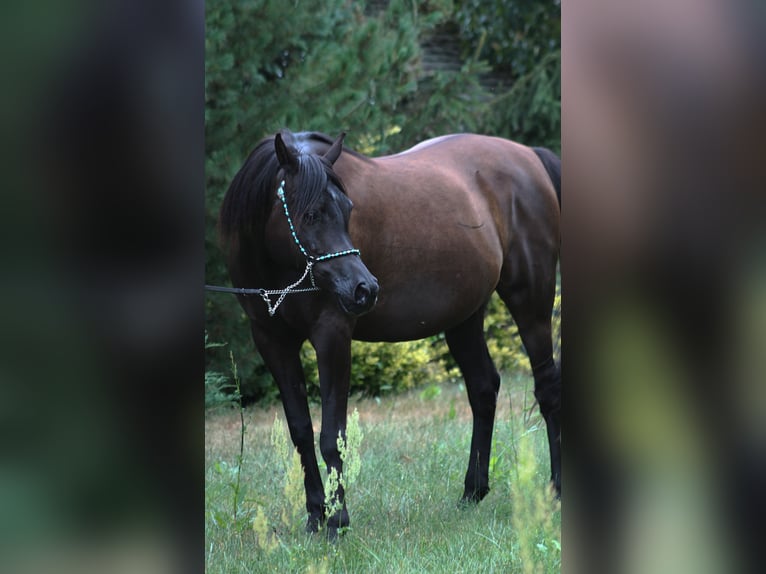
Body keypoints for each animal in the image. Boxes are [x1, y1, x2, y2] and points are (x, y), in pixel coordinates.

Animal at [218, 129, 561, 538]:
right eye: (310, 214)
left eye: (349, 210)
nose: (364, 289)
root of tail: (530, 157)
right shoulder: (272, 342)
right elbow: (300, 430)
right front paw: (316, 516)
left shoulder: (332, 335)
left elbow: (332, 435)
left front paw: (337, 521)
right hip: (464, 317)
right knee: (483, 388)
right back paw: (471, 493)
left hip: (531, 302)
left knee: (547, 389)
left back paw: (556, 491)